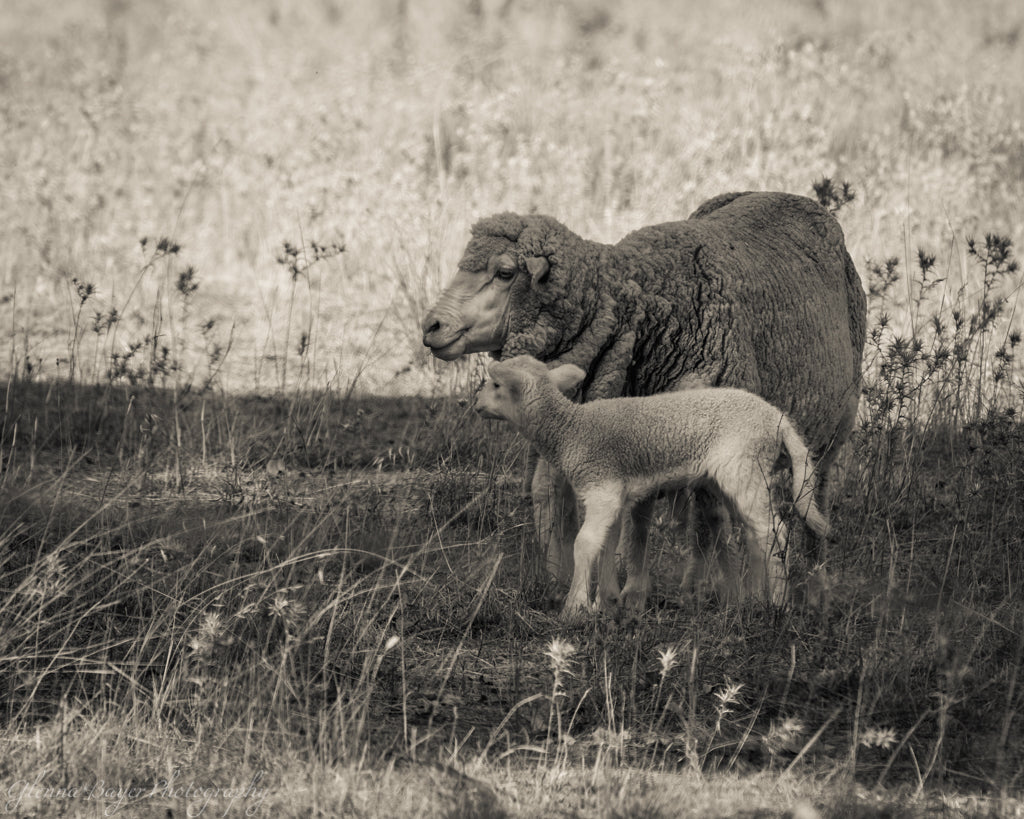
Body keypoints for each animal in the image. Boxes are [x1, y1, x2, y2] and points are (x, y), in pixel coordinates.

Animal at [474, 355, 829, 619]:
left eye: (496, 384)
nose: (474, 401)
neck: (570, 429)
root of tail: (778, 419)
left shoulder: (601, 488)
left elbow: (584, 544)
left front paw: (574, 608)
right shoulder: (614, 493)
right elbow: (607, 545)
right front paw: (606, 603)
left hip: (744, 466)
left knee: (774, 533)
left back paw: (779, 604)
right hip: (743, 475)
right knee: (757, 535)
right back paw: (755, 600)